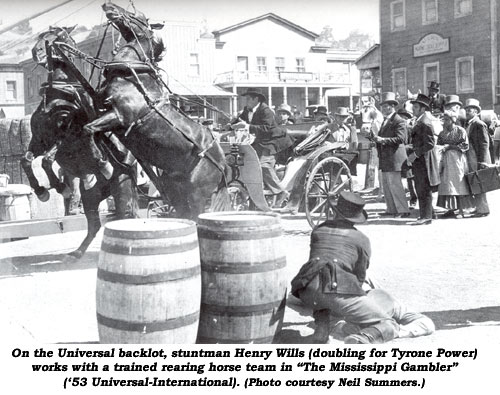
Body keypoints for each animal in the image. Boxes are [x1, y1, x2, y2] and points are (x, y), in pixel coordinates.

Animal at [20, 25, 139, 260]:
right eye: (40, 36)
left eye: (58, 35)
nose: (35, 52)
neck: (59, 93)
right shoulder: (39, 140)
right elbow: (26, 160)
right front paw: (41, 191)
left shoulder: (67, 136)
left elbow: (47, 160)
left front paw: (59, 187)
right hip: (90, 195)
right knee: (94, 224)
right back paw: (77, 252)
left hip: (122, 188)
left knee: (125, 217)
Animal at [82, 3, 230, 220]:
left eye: (136, 14)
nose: (109, 5)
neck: (133, 75)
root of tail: (223, 164)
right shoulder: (102, 107)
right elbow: (91, 127)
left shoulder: (120, 116)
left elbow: (88, 129)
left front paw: (100, 162)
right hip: (176, 189)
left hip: (197, 194)